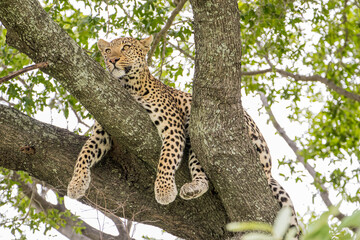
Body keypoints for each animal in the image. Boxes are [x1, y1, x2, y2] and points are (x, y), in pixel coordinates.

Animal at [67, 35, 300, 236]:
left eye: (126, 47)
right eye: (107, 50)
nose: (112, 59)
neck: (127, 86)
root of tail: (269, 170)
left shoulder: (173, 128)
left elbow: (166, 159)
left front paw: (164, 190)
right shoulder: (102, 128)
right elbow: (85, 152)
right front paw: (76, 184)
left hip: (202, 129)